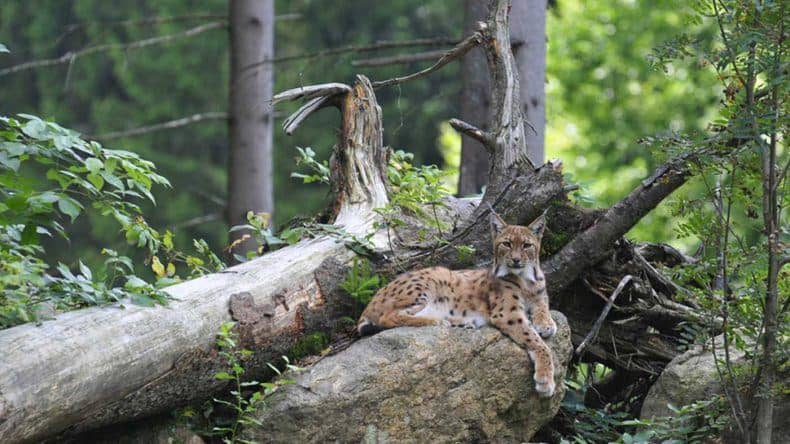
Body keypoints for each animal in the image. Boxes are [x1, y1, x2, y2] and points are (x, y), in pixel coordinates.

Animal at [356, 209, 558, 396]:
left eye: (527, 245)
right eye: (507, 244)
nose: (516, 260)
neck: (526, 278)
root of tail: (371, 301)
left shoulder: (540, 295)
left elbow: (543, 308)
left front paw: (547, 324)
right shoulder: (507, 313)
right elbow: (537, 341)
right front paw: (545, 378)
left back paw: (461, 321)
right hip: (432, 278)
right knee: (388, 317)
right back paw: (436, 321)